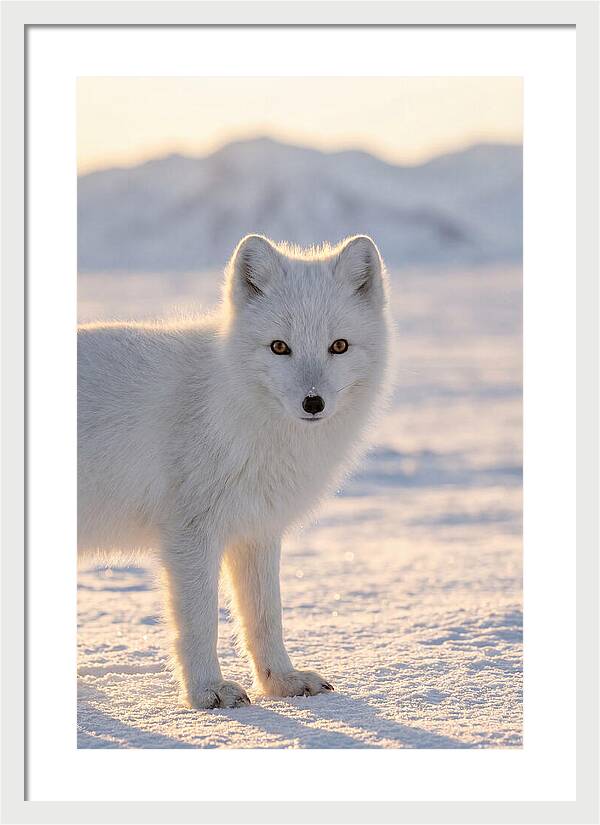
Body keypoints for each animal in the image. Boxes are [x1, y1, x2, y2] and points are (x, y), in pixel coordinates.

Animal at [78, 234, 392, 709]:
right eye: (279, 347)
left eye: (339, 346)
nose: (313, 403)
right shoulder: (190, 533)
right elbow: (200, 622)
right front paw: (207, 692)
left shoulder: (256, 529)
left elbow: (265, 616)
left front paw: (281, 682)